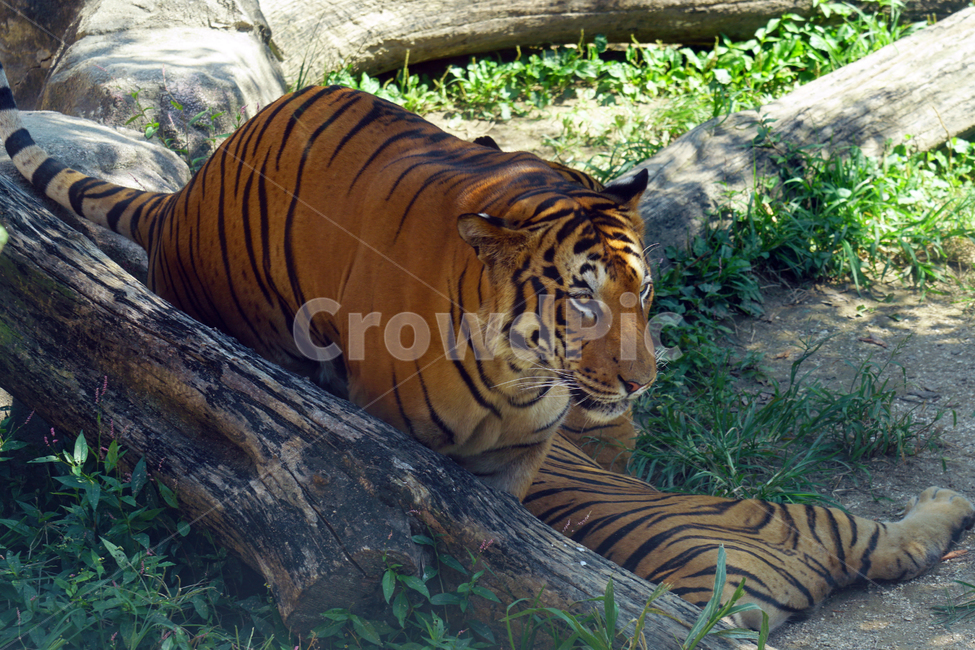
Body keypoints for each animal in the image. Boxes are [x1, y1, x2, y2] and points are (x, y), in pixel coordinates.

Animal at [0, 62, 656, 500]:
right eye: (582, 298)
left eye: (644, 289)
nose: (642, 382)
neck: (517, 379)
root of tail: (182, 197)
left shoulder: (513, 462)